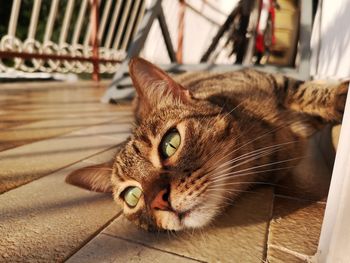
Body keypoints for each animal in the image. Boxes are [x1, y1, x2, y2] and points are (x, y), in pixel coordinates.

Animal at [65, 57, 348, 231]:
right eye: (132, 195)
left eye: (171, 142)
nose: (159, 201)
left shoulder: (277, 81)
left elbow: (310, 93)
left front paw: (339, 96)